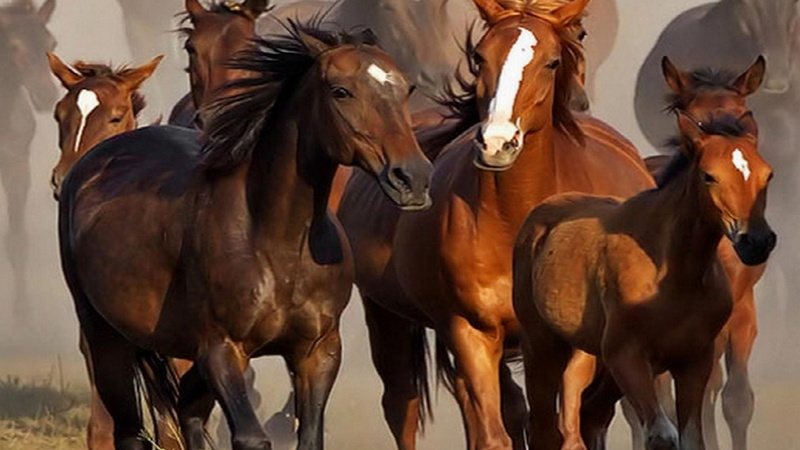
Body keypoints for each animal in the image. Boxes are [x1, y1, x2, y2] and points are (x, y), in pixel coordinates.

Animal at [57, 21, 432, 450]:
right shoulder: (222, 350)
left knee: (186, 412)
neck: (278, 242)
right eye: (341, 91)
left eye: (406, 89)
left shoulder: (318, 352)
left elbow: (309, 436)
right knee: (131, 431)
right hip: (105, 337)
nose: (412, 177)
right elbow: (251, 437)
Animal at [337, 0, 656, 448]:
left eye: (551, 61)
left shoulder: (573, 346)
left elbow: (563, 431)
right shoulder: (472, 333)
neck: (516, 223)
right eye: (480, 56)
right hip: (387, 315)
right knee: (403, 404)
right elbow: (494, 434)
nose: (496, 143)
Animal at [513, 111, 776, 450]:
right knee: (544, 429)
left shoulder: (694, 361)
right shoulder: (627, 357)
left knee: (590, 415)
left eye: (767, 175)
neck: (675, 273)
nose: (756, 241)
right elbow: (662, 435)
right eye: (709, 176)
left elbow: (691, 437)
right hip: (543, 348)